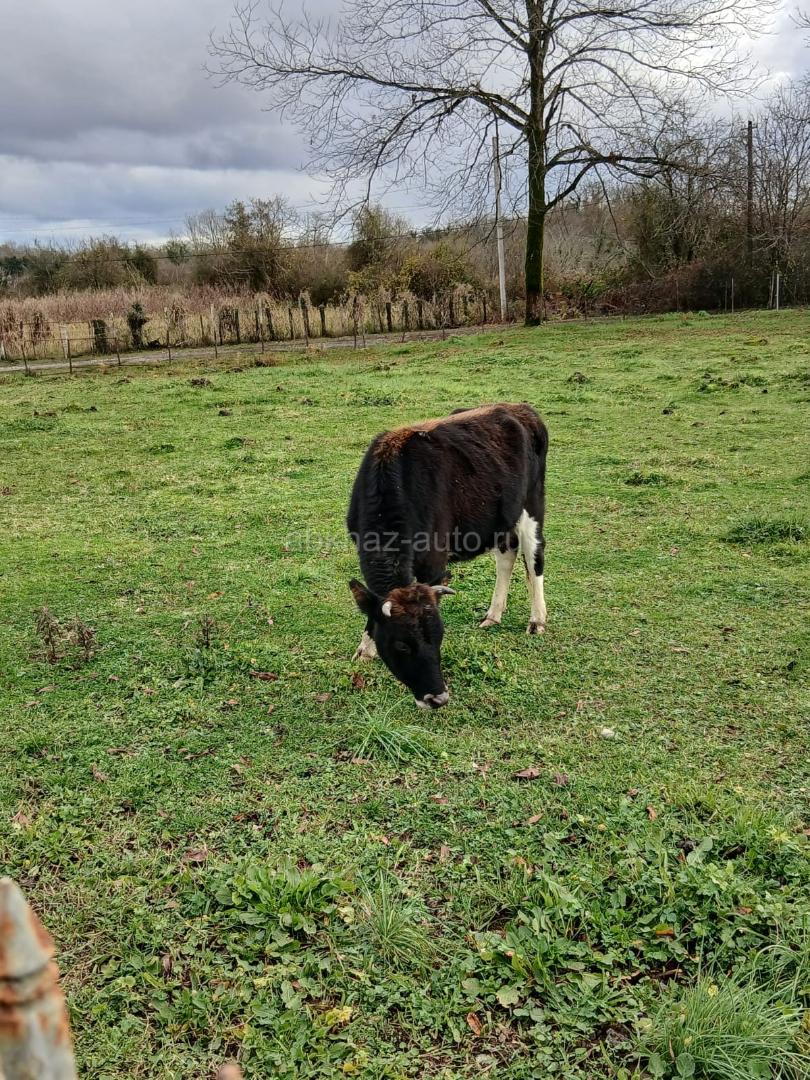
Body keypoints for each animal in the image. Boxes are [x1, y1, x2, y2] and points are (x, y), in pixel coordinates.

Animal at [347, 402, 548, 708]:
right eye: (402, 644)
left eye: (439, 637)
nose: (438, 697)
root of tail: (520, 408)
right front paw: (365, 650)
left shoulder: (434, 562)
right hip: (501, 517)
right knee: (506, 556)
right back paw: (493, 615)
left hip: (532, 506)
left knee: (534, 558)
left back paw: (537, 620)